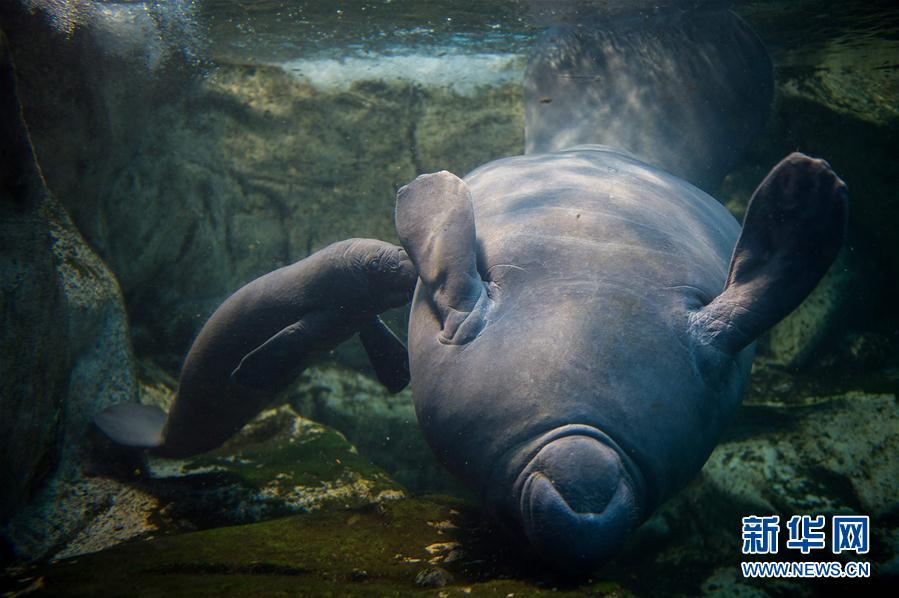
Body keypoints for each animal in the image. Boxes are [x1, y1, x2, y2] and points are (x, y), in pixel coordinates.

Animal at [96, 240, 414, 460]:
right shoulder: (326, 312)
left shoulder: (362, 317)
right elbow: (285, 341)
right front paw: (242, 375)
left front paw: (399, 377)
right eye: (374, 264)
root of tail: (159, 436)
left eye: (397, 246)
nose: (408, 261)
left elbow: (382, 340)